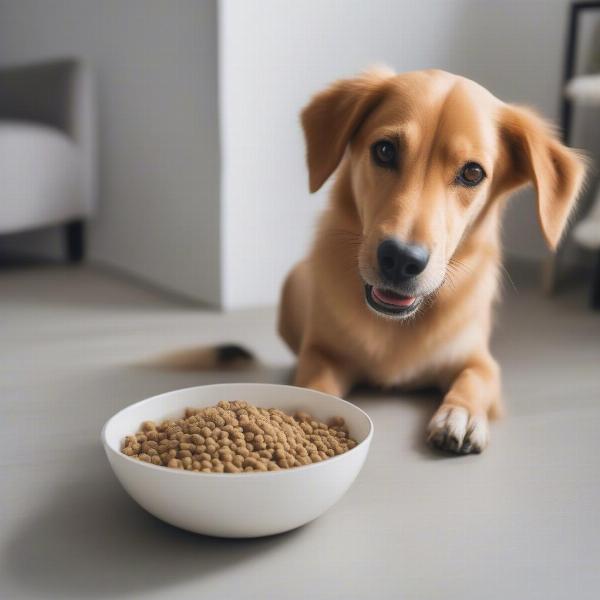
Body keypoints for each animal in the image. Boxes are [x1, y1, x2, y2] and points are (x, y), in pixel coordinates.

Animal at [278, 68, 584, 454]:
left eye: (472, 173)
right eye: (384, 150)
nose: (400, 259)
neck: (396, 327)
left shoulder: (479, 359)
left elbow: (476, 379)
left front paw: (460, 414)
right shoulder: (322, 352)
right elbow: (314, 382)